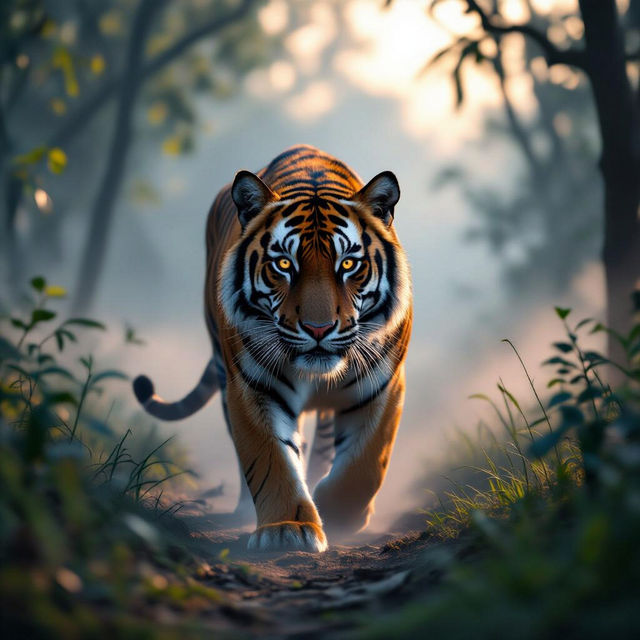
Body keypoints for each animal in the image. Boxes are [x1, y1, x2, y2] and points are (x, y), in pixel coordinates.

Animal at [133, 145, 412, 552]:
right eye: (283, 264)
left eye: (348, 264)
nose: (318, 328)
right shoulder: (253, 386)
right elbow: (271, 458)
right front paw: (287, 529)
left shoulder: (383, 383)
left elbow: (365, 462)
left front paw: (337, 514)